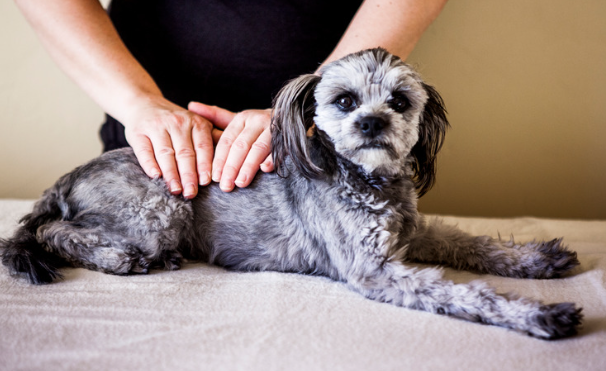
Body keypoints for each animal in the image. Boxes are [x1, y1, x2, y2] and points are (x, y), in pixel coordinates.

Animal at [1, 48, 584, 340]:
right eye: (345, 100)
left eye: (399, 101)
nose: (372, 123)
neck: (366, 180)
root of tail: (68, 178)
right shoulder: (373, 270)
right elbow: (470, 294)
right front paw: (537, 316)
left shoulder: (414, 232)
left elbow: (470, 243)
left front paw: (536, 259)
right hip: (161, 207)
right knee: (53, 231)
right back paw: (120, 257)